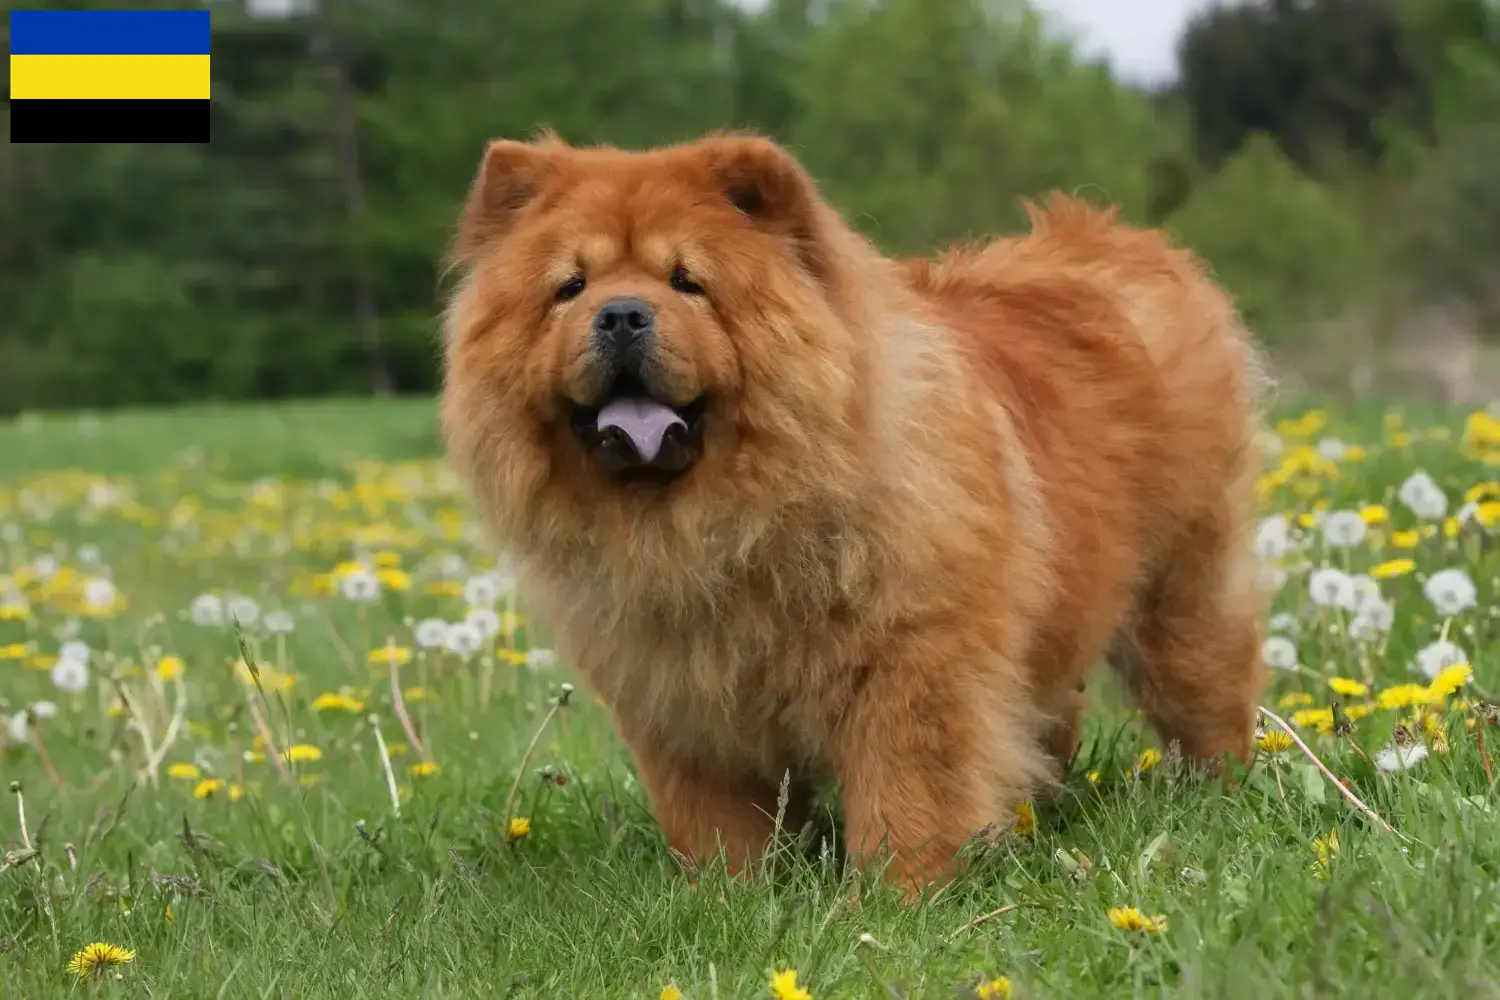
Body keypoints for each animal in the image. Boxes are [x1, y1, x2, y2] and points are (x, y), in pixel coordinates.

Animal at [438, 131, 1272, 899]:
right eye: (569, 287)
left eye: (688, 282)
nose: (619, 314)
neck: (720, 528)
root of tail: (1116, 240)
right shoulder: (675, 697)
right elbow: (715, 818)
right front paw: (732, 895)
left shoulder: (911, 661)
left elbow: (910, 791)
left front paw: (904, 898)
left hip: (1181, 593)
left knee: (1209, 690)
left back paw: (1221, 789)